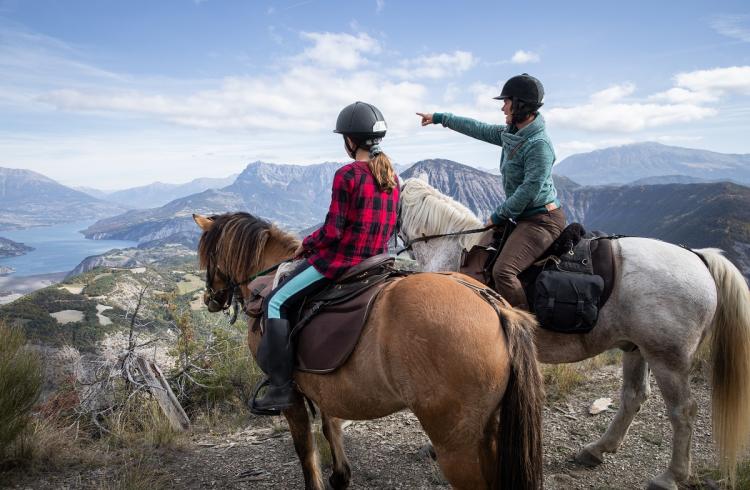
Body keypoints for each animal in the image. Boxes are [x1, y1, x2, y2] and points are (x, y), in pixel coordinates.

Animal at [194, 213, 548, 490]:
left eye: (207, 256)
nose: (210, 298)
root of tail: (492, 303)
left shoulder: (291, 396)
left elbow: (305, 450)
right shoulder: (324, 385)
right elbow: (331, 426)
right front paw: (340, 475)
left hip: (457, 446)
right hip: (488, 432)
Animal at [402, 177, 750, 490]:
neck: (454, 254)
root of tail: (698, 257)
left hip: (668, 358)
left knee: (683, 411)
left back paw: (670, 477)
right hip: (637, 349)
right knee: (634, 397)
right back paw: (597, 450)